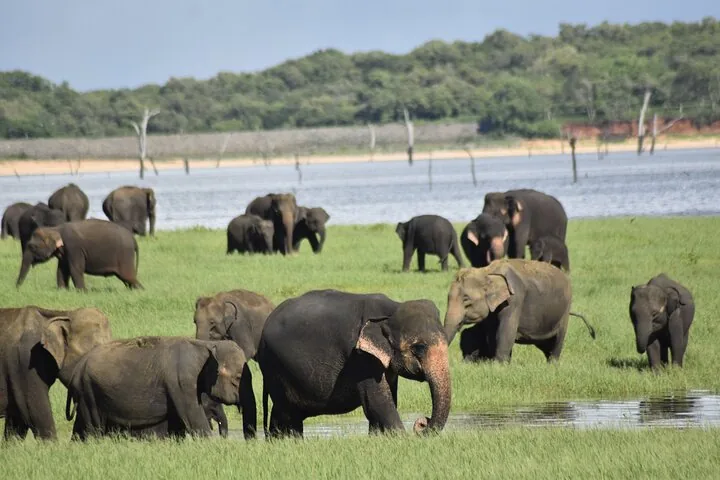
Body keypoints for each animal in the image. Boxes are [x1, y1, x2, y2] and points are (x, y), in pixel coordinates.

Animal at [65, 337, 252, 440]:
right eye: (237, 378)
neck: (206, 345)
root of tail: (77, 368)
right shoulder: (182, 382)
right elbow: (194, 418)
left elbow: (177, 424)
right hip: (88, 391)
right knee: (93, 428)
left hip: (85, 392)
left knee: (81, 427)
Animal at [258, 289, 451, 438]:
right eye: (419, 347)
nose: (422, 423)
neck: (391, 309)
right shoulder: (360, 359)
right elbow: (378, 402)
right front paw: (401, 438)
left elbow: (386, 399)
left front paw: (378, 439)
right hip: (275, 366)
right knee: (287, 413)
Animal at [444, 259, 595, 363]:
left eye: (466, 300)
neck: (487, 271)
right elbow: (492, 334)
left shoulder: (515, 298)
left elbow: (506, 331)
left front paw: (499, 365)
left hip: (565, 310)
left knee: (557, 341)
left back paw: (553, 364)